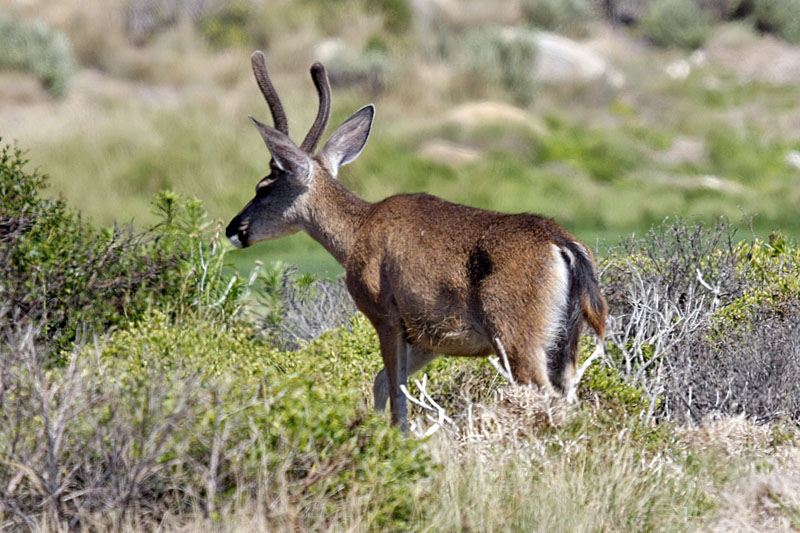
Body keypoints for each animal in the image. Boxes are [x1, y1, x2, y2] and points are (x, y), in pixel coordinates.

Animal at [228, 51, 608, 432]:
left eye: (264, 188)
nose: (234, 229)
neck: (356, 233)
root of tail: (563, 245)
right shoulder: (432, 336)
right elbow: (383, 381)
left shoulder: (385, 315)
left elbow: (396, 392)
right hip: (566, 339)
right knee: (569, 396)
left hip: (516, 332)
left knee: (544, 396)